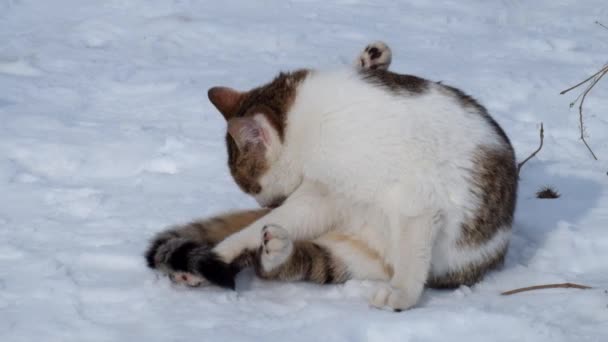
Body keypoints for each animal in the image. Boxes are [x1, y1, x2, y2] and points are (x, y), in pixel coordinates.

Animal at [145, 41, 516, 312]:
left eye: (251, 186)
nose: (264, 202)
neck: (313, 122)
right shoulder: (325, 193)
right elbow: (264, 226)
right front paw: (220, 255)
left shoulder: (413, 202)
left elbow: (413, 251)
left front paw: (402, 294)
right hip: (349, 250)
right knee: (288, 261)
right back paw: (273, 250)